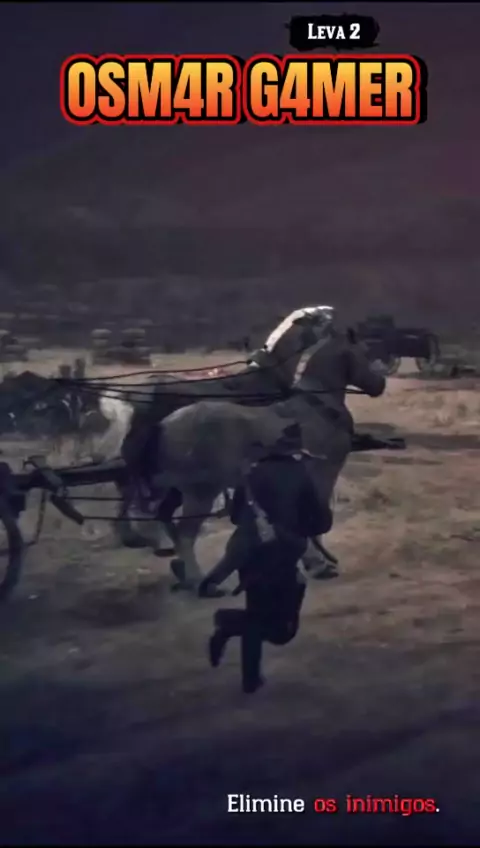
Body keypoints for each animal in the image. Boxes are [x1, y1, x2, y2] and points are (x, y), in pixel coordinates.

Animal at [116, 326, 386, 591]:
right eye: (365, 353)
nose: (380, 385)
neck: (319, 408)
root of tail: (165, 424)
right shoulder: (324, 472)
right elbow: (315, 522)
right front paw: (320, 565)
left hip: (177, 489)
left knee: (165, 516)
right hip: (200, 494)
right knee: (184, 534)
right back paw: (196, 579)